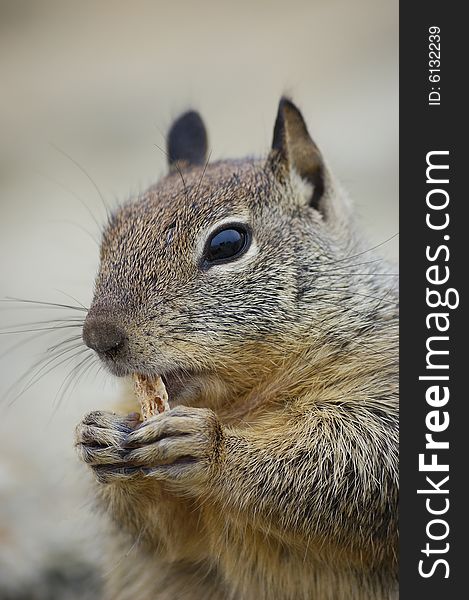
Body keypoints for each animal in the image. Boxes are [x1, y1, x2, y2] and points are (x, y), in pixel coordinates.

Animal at [75, 98, 396, 600]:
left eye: (227, 244)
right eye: (110, 234)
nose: (99, 337)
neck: (237, 403)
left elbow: (355, 463)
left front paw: (208, 447)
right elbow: (168, 535)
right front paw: (97, 435)